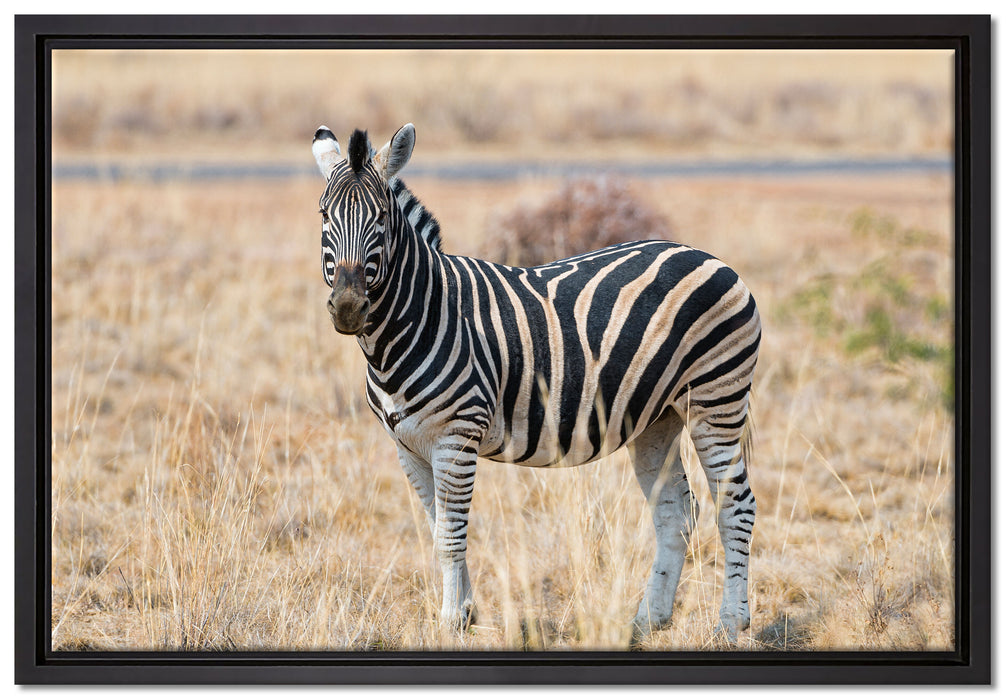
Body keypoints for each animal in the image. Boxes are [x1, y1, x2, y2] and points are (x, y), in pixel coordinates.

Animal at [312, 123, 761, 643]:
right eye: (323, 215)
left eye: (382, 219)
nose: (348, 307)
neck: (416, 320)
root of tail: (711, 258)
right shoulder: (407, 444)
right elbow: (438, 529)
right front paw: (465, 613)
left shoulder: (456, 438)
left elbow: (451, 536)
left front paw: (451, 622)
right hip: (658, 419)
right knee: (675, 514)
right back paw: (648, 620)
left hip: (716, 401)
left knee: (735, 507)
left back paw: (731, 623)